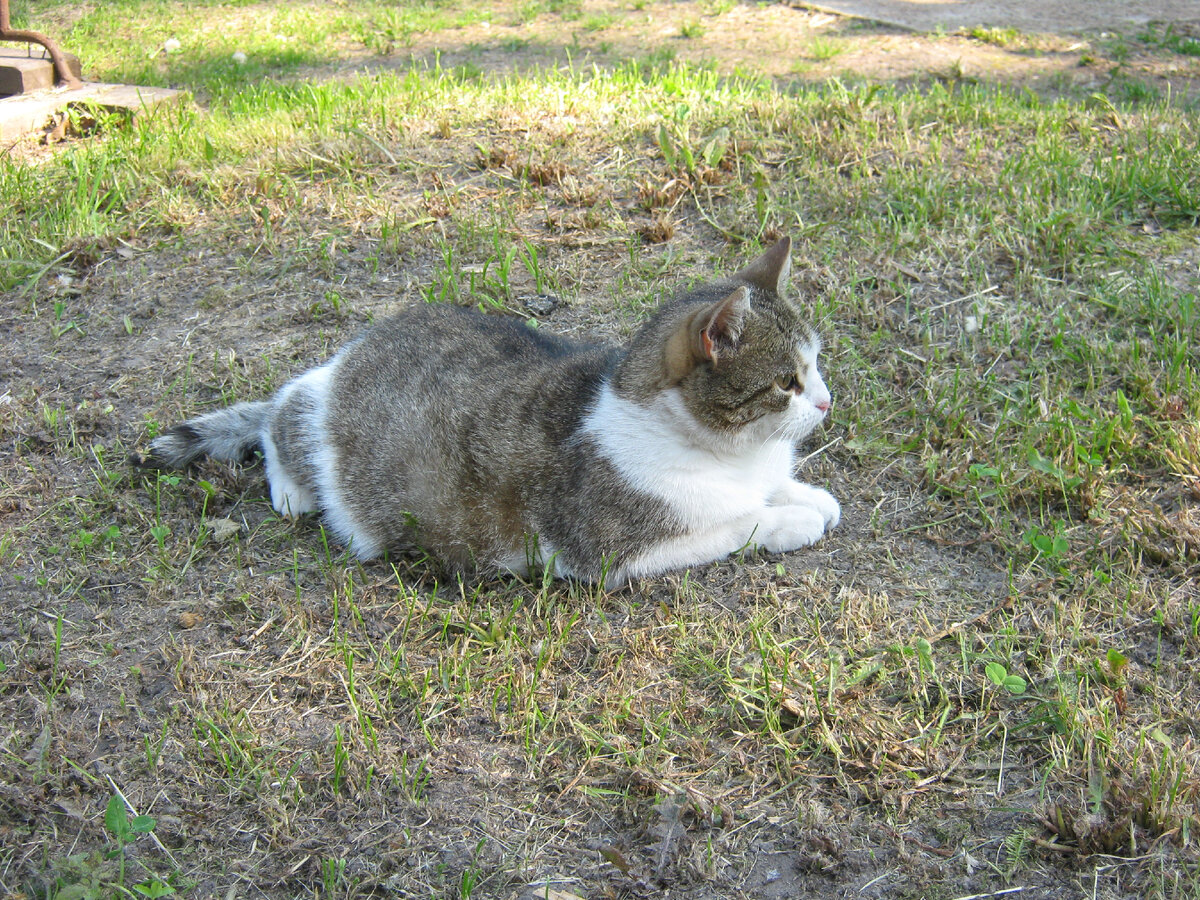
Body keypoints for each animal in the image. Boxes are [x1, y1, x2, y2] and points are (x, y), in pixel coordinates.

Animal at [140, 237, 840, 585]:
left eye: (816, 364)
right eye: (787, 382)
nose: (827, 401)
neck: (733, 455)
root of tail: (358, 348)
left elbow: (771, 490)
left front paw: (805, 496)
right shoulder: (604, 551)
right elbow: (734, 527)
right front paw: (788, 521)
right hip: (322, 425)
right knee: (280, 410)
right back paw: (290, 485)